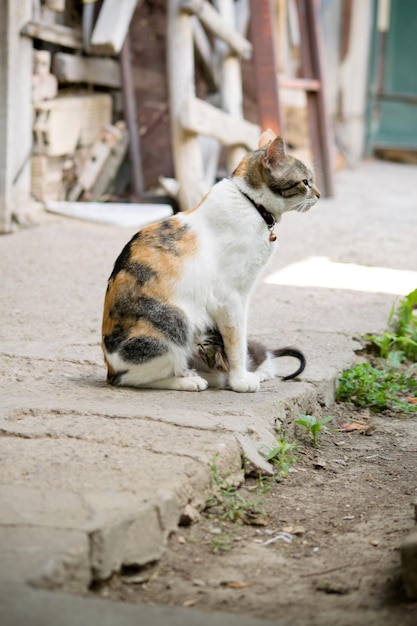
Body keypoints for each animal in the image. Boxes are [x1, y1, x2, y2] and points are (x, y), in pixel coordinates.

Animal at [101, 130, 318, 392]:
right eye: (305, 182)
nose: (319, 194)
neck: (251, 204)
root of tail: (109, 369)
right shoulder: (231, 297)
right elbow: (236, 341)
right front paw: (240, 380)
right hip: (176, 321)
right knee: (134, 378)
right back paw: (190, 380)